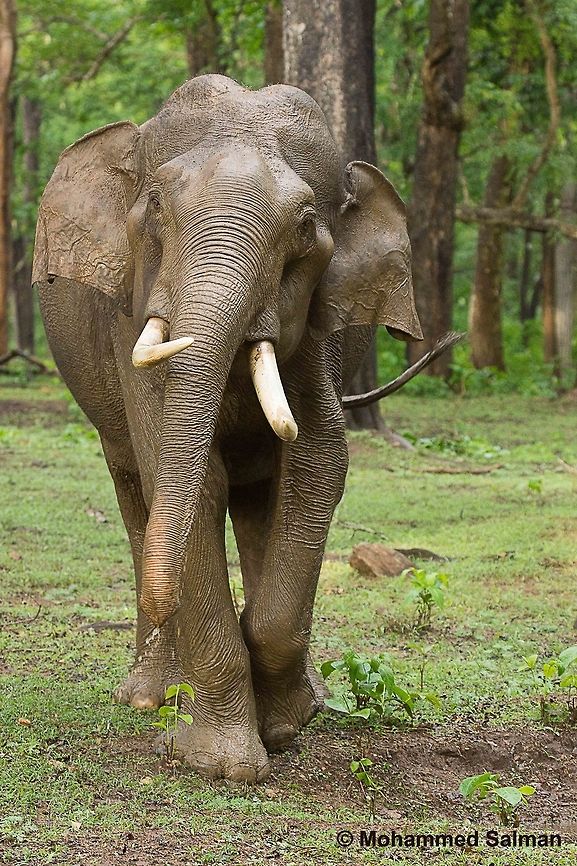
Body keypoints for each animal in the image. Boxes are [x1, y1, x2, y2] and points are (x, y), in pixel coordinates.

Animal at [34, 74, 434, 783]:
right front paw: (220, 762)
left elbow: (318, 465)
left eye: (306, 226)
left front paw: (286, 720)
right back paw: (150, 694)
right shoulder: (130, 318)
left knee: (255, 503)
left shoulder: (322, 333)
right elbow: (194, 479)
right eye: (155, 207)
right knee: (135, 491)